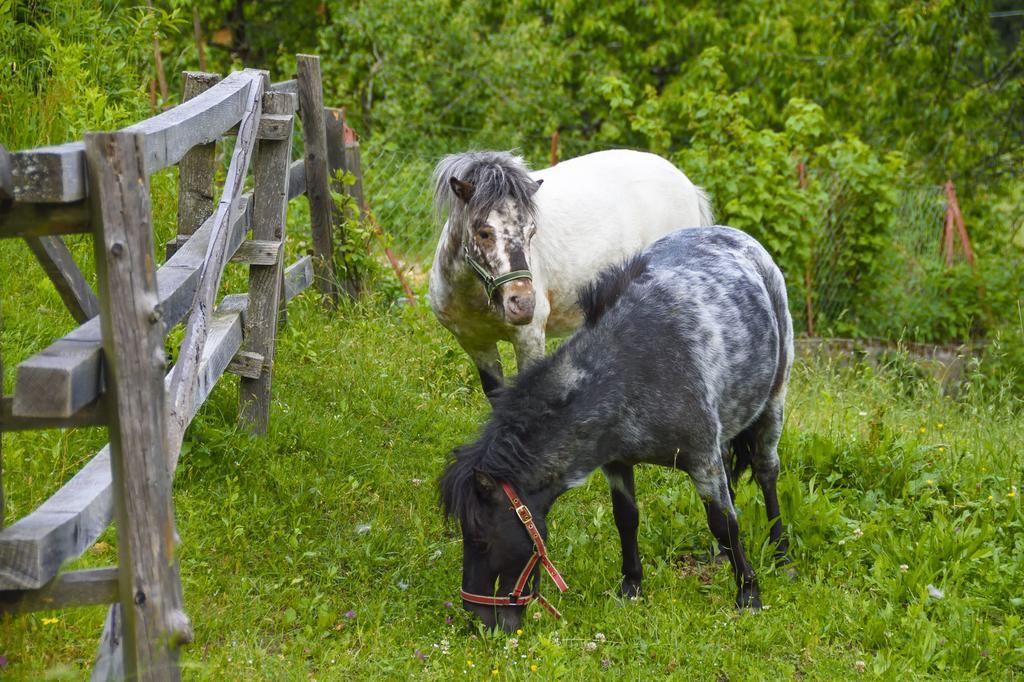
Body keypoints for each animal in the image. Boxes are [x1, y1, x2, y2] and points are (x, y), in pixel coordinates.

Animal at [425, 146, 712, 395]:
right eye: (483, 232)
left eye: (531, 231)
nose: (523, 304)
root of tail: (687, 186)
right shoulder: (477, 345)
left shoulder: (529, 339)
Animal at [438, 225, 790, 630]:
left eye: (479, 540)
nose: (480, 620)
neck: (630, 370)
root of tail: (737, 236)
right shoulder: (617, 463)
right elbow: (627, 519)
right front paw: (631, 587)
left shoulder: (702, 460)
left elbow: (724, 522)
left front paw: (748, 594)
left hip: (773, 404)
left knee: (766, 472)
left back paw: (782, 553)